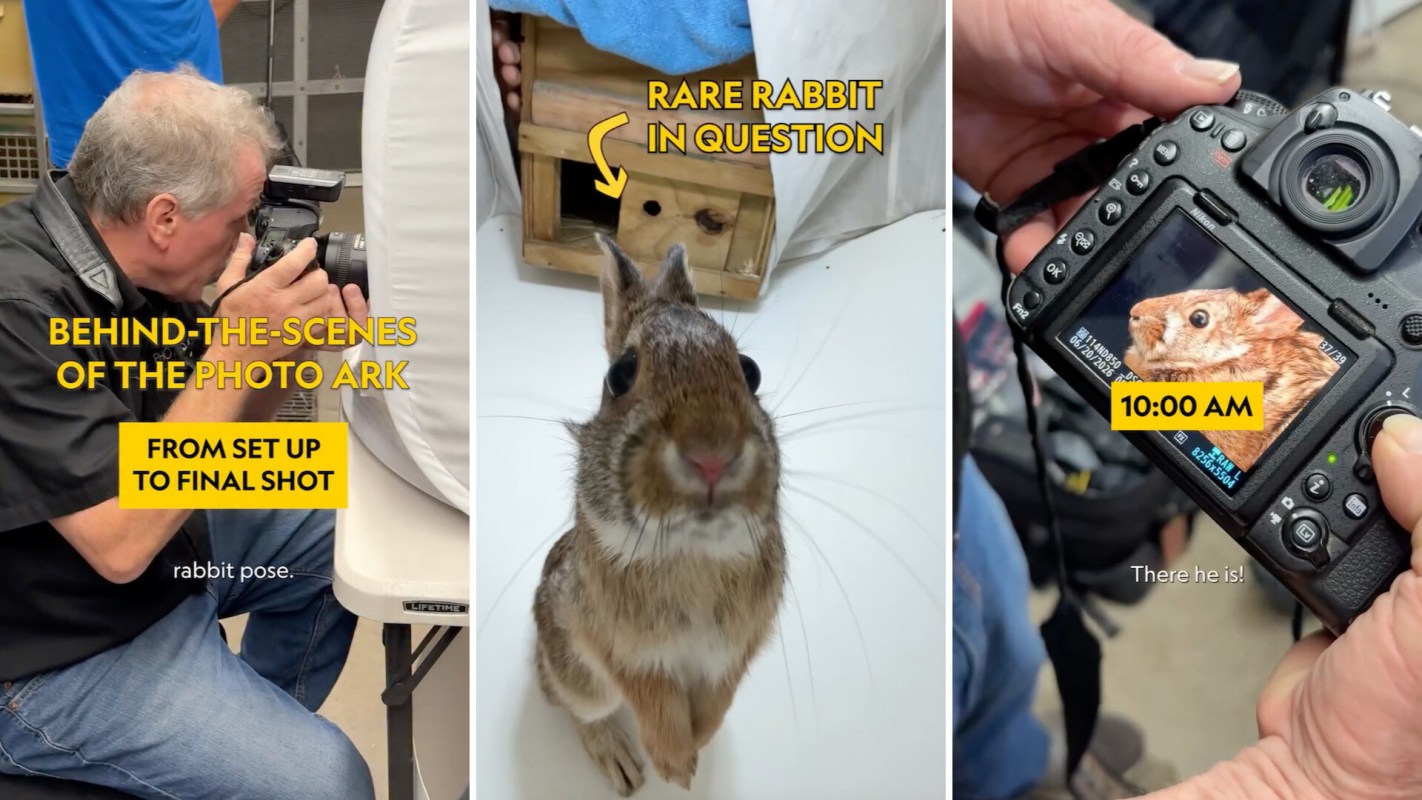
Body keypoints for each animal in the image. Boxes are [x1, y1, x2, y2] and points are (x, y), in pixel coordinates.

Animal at [532, 234, 786, 796]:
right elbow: (652, 698)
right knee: (577, 707)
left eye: (750, 370)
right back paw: (622, 764)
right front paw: (674, 764)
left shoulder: (735, 650)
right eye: (620, 374)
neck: (694, 550)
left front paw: (699, 745)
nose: (712, 455)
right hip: (577, 674)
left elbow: (717, 700)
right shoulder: (619, 647)